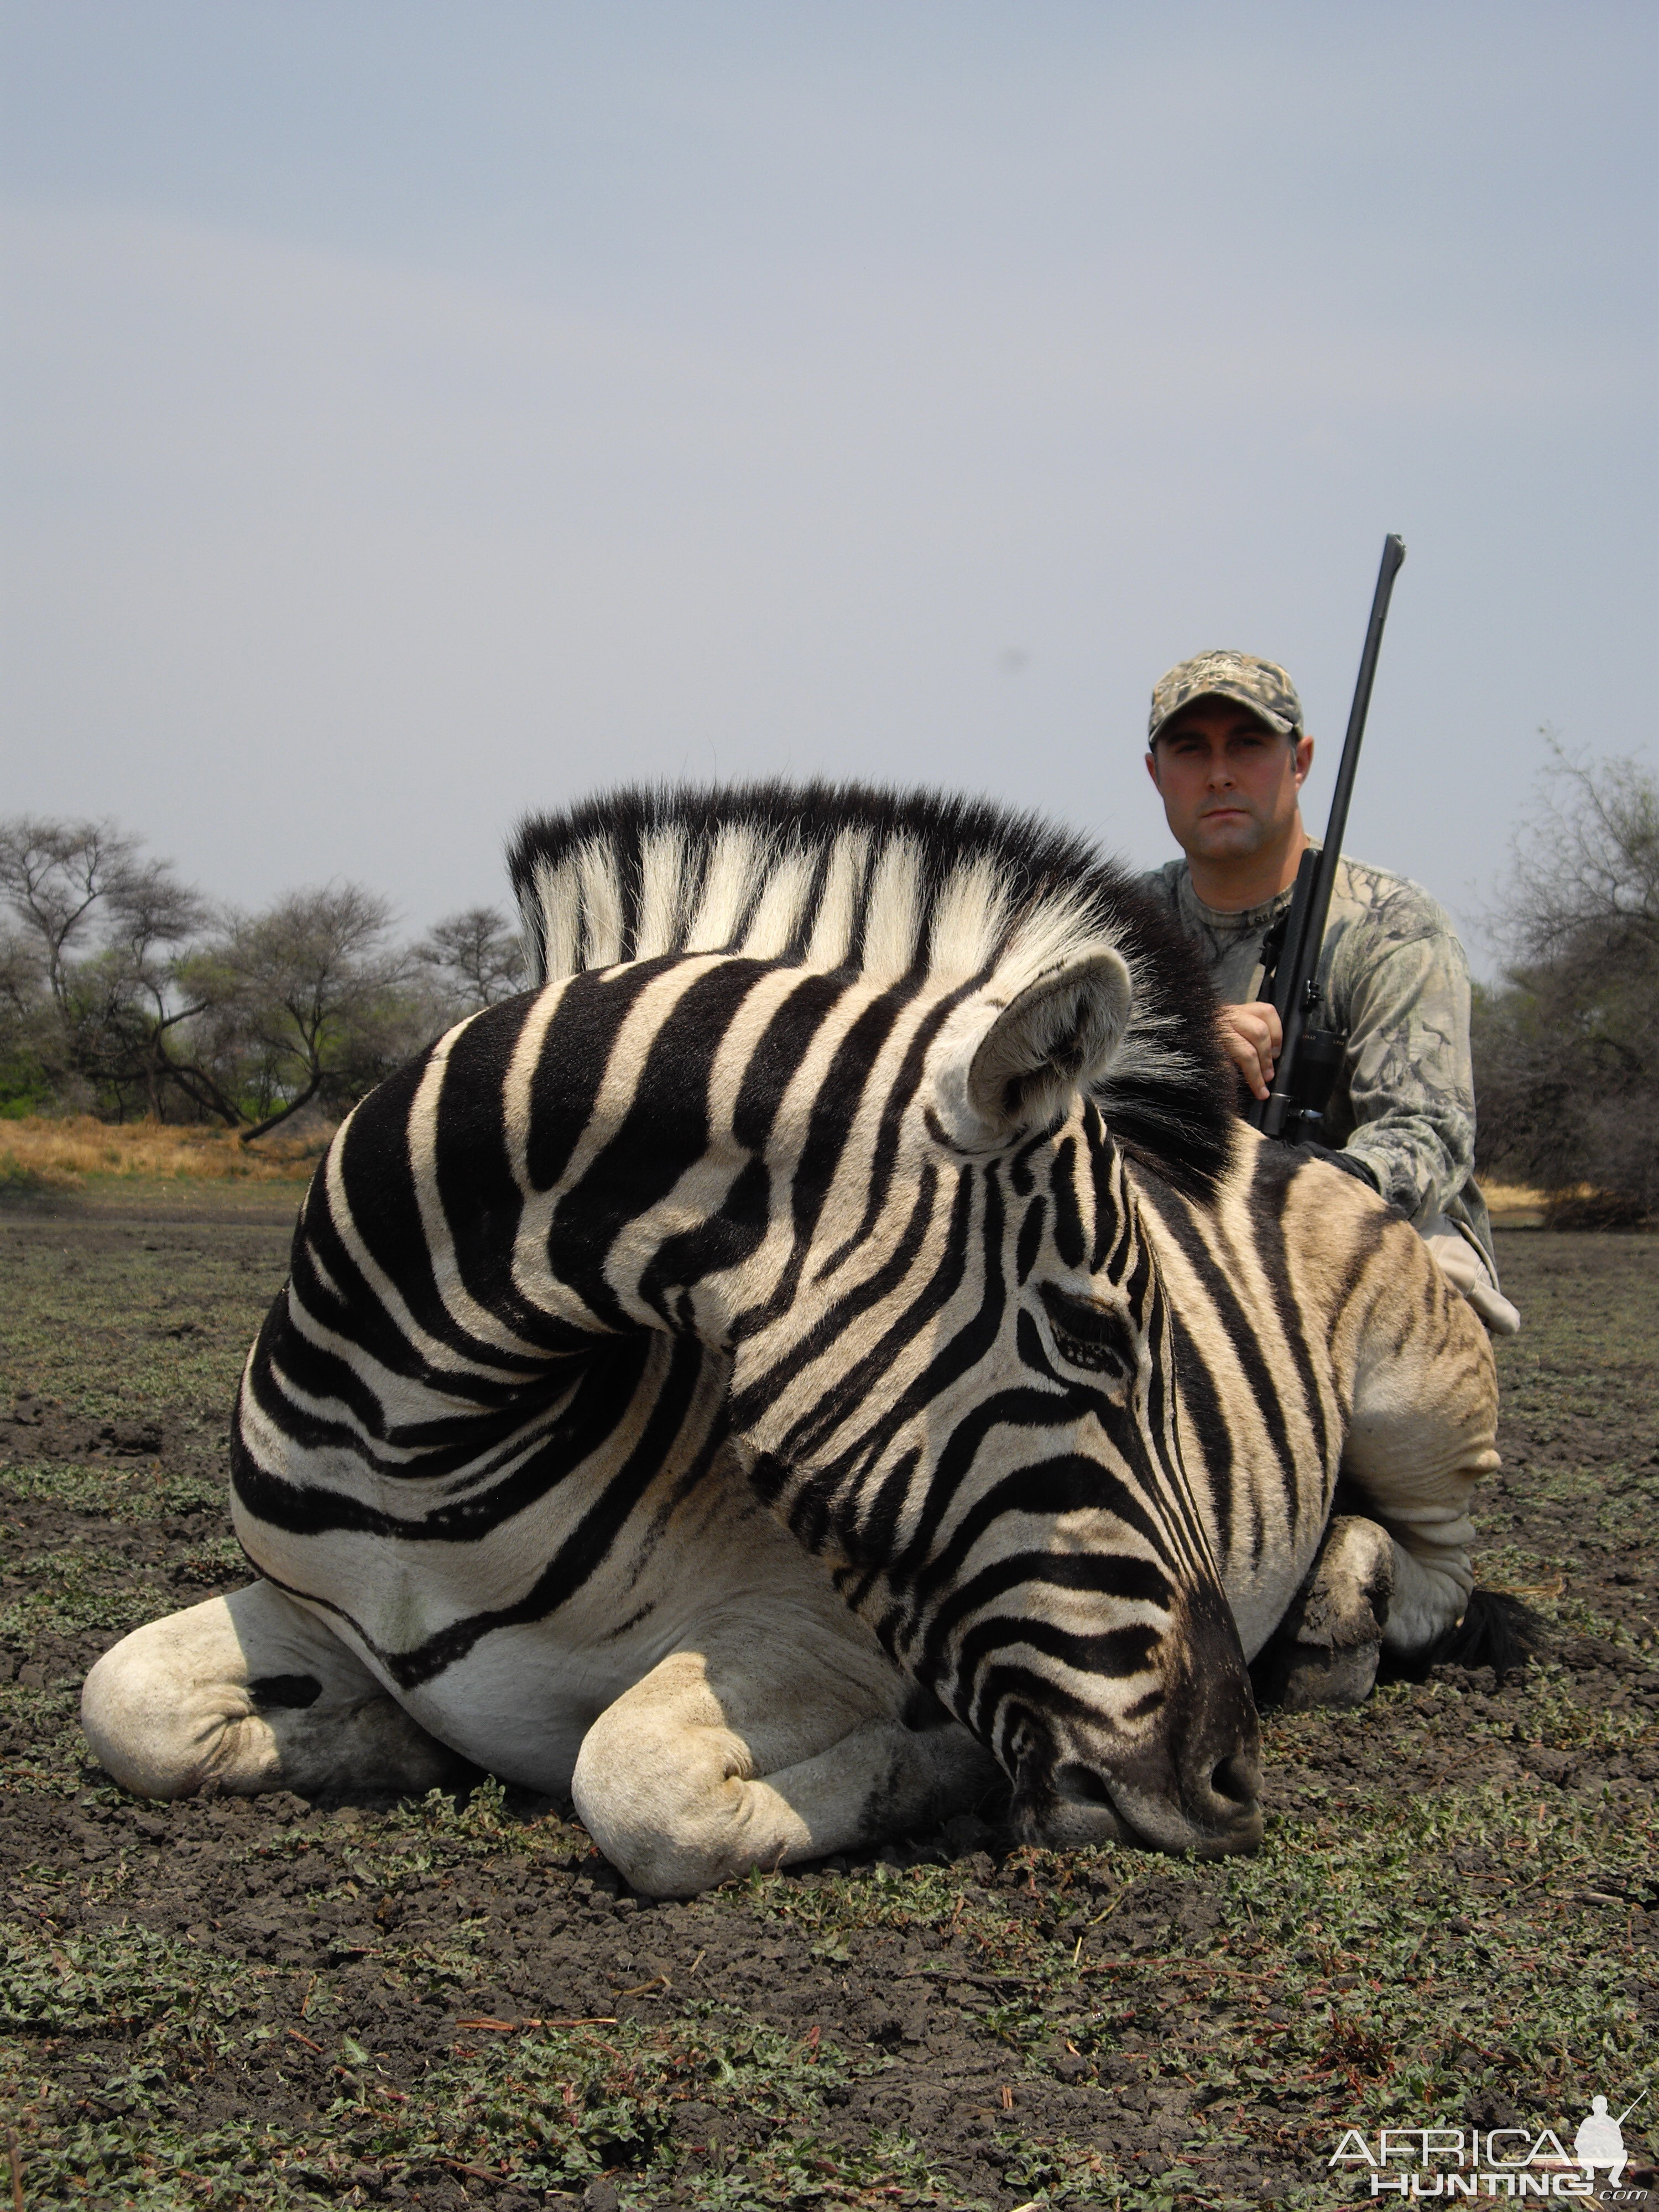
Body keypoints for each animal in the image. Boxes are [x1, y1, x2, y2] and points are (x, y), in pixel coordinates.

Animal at [81, 783, 1504, 1902]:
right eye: (1094, 1336)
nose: (1229, 1773)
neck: (418, 1435)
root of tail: (1285, 1143)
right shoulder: (312, 1604)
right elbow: (123, 1699)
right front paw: (399, 1743)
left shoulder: (823, 1623)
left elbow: (635, 1778)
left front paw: (928, 1771)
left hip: (1417, 1398)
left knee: (1437, 1560)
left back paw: (1334, 1620)